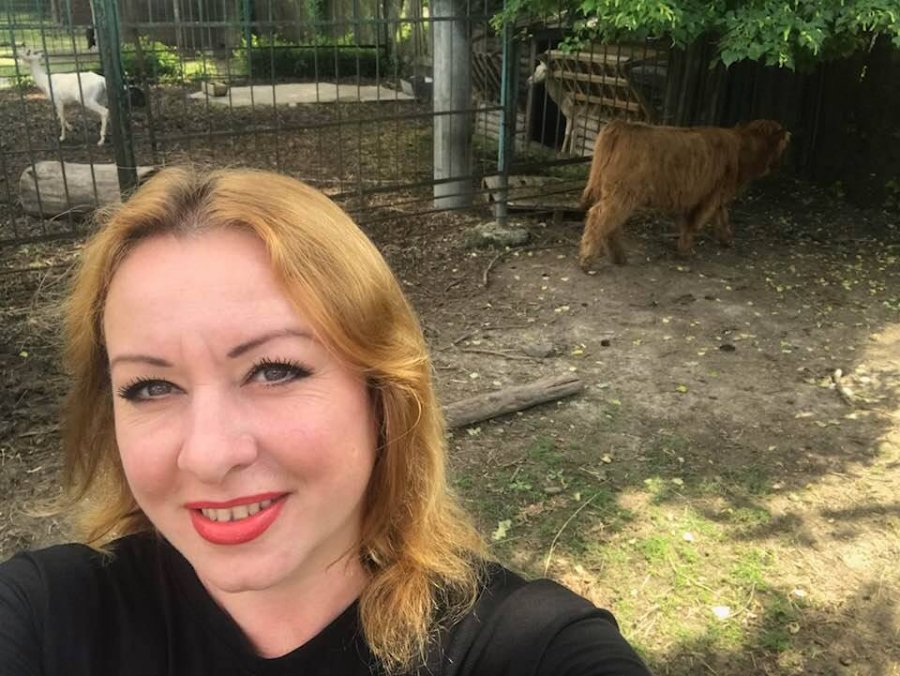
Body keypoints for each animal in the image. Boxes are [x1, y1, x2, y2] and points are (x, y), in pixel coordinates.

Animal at [578, 119, 790, 270]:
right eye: (782, 147)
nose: (780, 167)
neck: (742, 150)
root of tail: (621, 125)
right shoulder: (711, 196)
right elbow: (694, 223)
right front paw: (685, 251)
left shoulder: (706, 198)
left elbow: (721, 219)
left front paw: (727, 240)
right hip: (622, 194)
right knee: (599, 217)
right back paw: (587, 260)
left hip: (617, 195)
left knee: (610, 224)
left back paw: (619, 258)